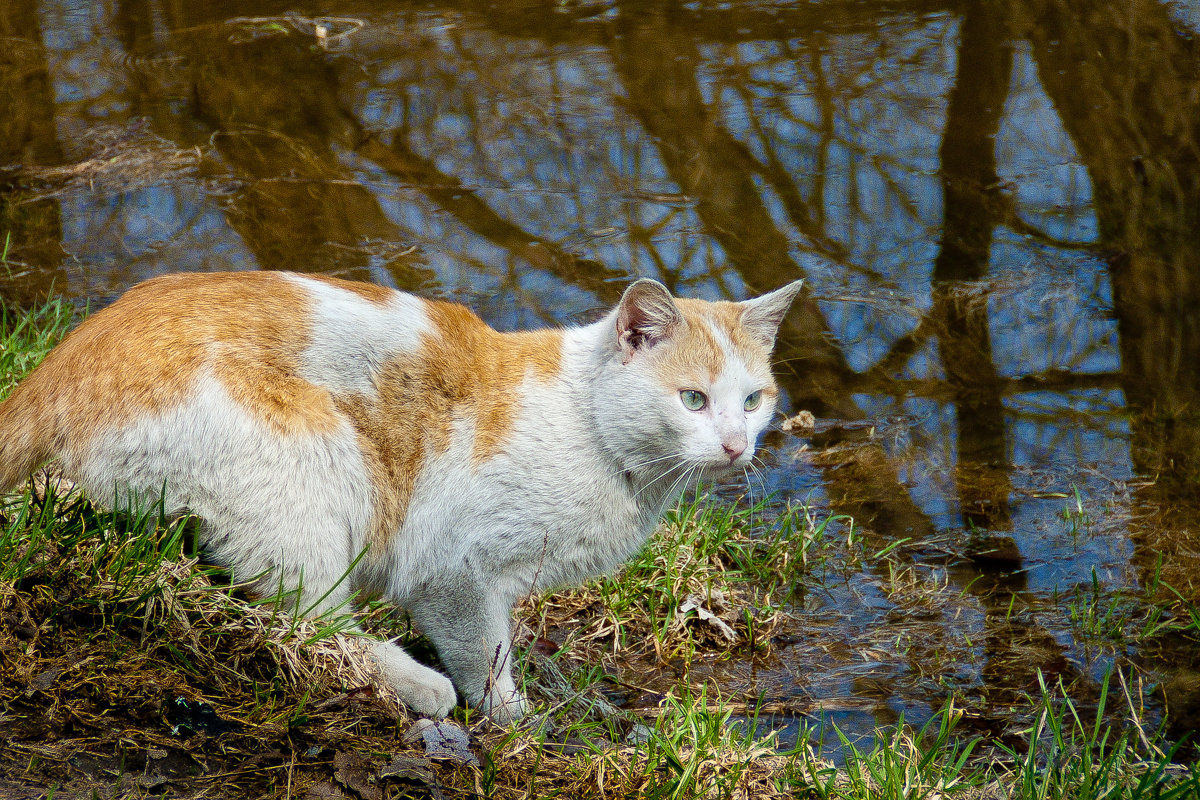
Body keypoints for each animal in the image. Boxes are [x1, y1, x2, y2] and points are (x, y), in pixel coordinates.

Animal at [2, 272, 806, 724]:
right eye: (694, 399)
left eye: (754, 399)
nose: (736, 445)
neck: (589, 426)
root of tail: (59, 367)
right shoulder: (453, 570)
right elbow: (485, 651)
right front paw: (511, 714)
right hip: (311, 465)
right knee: (309, 626)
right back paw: (418, 686)